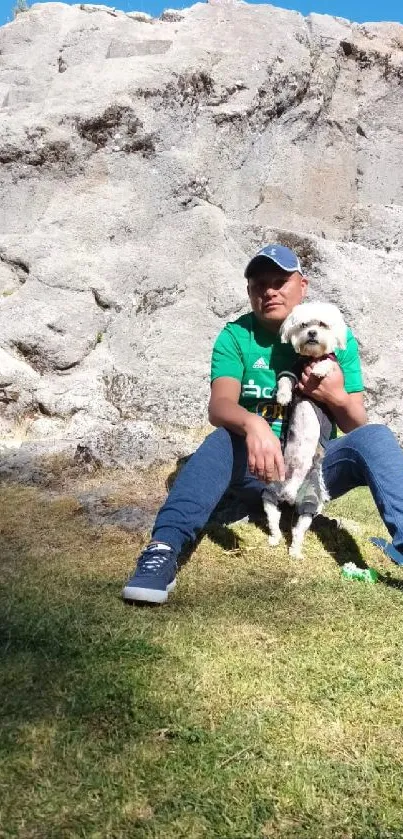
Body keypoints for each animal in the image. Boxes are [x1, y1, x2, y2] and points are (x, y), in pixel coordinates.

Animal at [264, 300, 348, 556]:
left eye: (322, 324)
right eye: (304, 325)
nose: (311, 333)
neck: (310, 358)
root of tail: (290, 491)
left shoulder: (334, 369)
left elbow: (328, 363)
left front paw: (320, 370)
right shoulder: (293, 369)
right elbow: (284, 379)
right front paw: (282, 397)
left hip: (309, 501)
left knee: (299, 529)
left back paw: (295, 551)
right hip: (271, 491)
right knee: (273, 517)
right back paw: (275, 539)